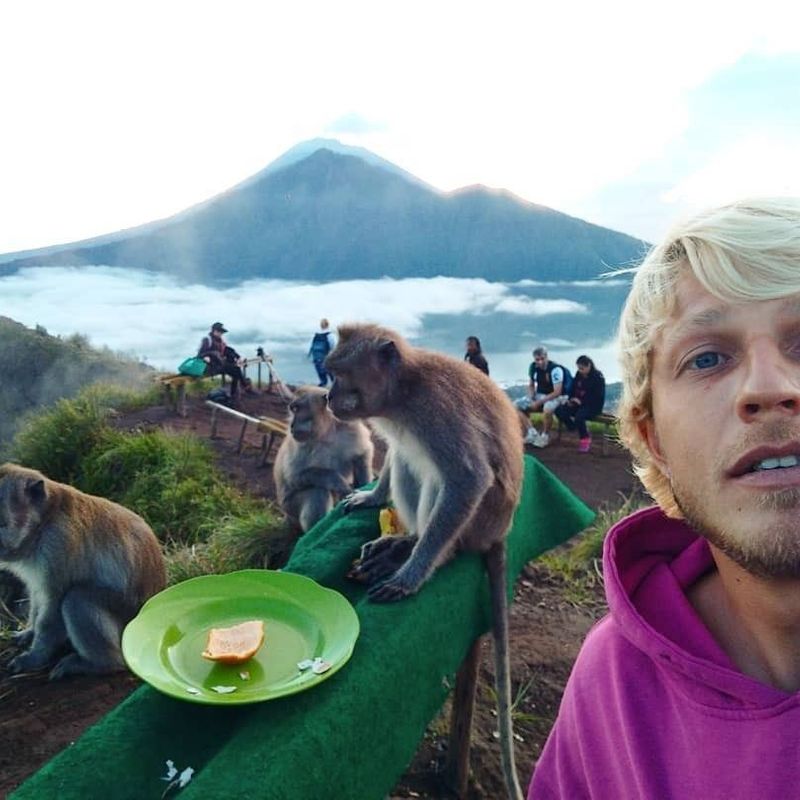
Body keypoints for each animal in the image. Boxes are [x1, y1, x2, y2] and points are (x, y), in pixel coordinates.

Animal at [0, 462, 166, 680]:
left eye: (0, 522)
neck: (45, 520)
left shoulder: (58, 545)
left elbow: (54, 605)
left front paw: (34, 657)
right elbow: (37, 595)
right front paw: (29, 632)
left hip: (128, 622)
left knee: (76, 598)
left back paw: (101, 664)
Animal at [276, 386, 376, 536]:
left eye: (297, 408)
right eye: (293, 409)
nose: (292, 425)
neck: (327, 432)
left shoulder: (350, 428)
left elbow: (362, 454)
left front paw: (363, 490)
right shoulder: (300, 444)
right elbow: (294, 477)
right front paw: (341, 485)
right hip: (289, 508)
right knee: (317, 492)